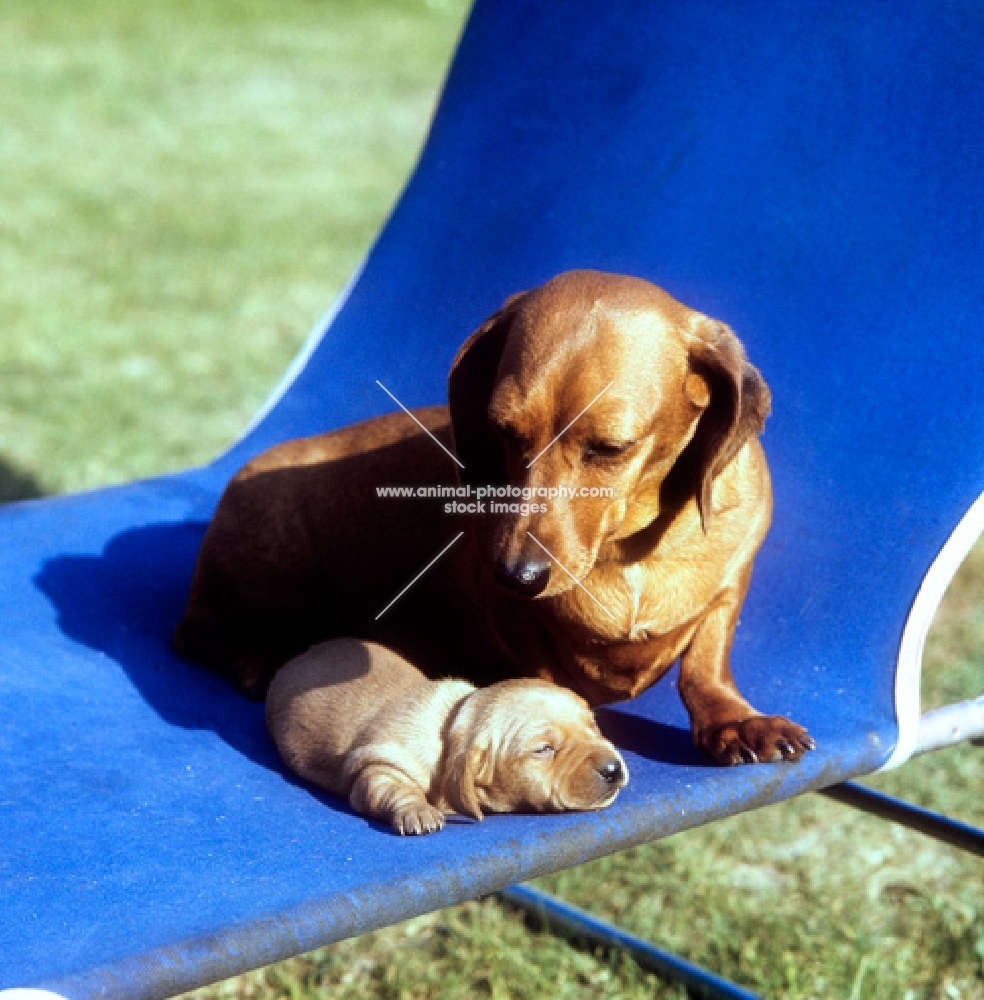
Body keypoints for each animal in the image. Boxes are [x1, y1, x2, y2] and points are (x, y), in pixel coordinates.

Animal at [175, 268, 816, 764]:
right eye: (504, 431)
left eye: (610, 448)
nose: (517, 575)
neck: (627, 549)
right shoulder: (512, 618)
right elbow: (544, 672)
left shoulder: (730, 586)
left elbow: (706, 661)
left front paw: (734, 719)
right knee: (194, 634)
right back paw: (259, 657)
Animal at [266, 636, 628, 832]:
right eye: (543, 749)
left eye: (593, 726)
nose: (613, 768)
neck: (453, 724)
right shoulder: (379, 764)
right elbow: (389, 786)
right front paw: (418, 811)